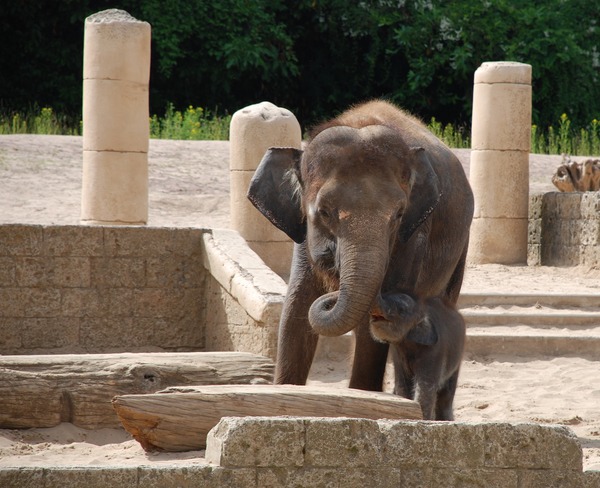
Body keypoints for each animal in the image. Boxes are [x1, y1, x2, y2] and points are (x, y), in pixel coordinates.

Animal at [368, 292, 466, 422]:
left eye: (401, 309)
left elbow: (425, 387)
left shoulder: (434, 351)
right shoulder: (397, 354)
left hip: (457, 358)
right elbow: (403, 385)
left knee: (446, 397)